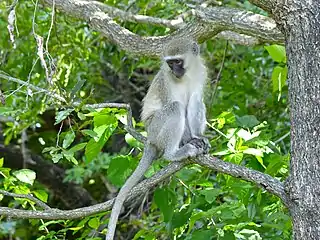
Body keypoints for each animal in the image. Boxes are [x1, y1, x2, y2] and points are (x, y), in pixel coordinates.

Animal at [105, 37, 210, 240]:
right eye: (170, 63)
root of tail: (150, 139)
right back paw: (174, 153)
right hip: (156, 128)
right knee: (175, 107)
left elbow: (195, 99)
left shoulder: (200, 72)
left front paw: (197, 137)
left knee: (196, 101)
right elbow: (176, 104)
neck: (186, 75)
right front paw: (189, 141)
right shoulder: (165, 82)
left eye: (178, 61)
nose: (175, 71)